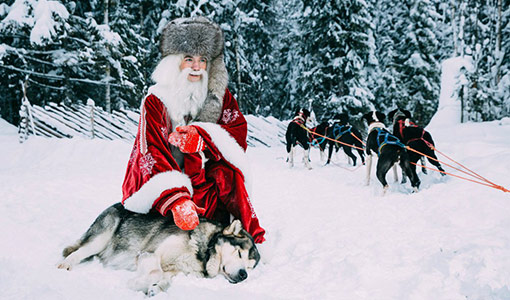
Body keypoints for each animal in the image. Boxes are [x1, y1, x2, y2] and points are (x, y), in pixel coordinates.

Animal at [57, 203, 260, 296]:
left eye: (250, 267)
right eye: (239, 253)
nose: (244, 275)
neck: (202, 250)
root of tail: (118, 203)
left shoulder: (176, 271)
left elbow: (165, 279)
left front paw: (156, 289)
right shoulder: (149, 254)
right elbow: (156, 272)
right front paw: (137, 284)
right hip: (100, 238)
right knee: (77, 252)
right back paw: (65, 265)